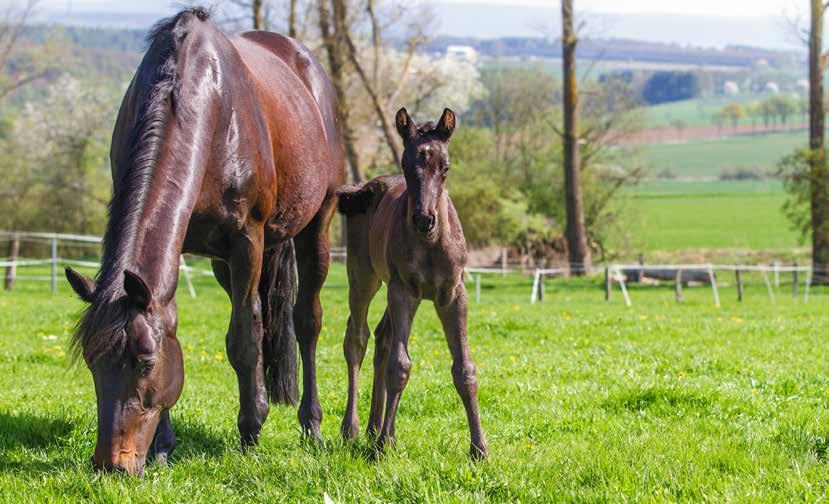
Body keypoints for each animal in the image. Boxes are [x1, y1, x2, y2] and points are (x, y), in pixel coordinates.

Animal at [60, 7, 340, 474]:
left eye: (145, 362)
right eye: (92, 362)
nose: (112, 464)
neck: (208, 107)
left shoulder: (248, 241)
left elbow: (243, 338)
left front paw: (250, 431)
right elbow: (180, 325)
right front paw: (162, 447)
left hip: (315, 223)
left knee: (306, 321)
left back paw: (311, 425)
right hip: (223, 262)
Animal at [334, 108, 486, 458]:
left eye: (445, 167)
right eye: (406, 165)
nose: (423, 219)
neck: (431, 242)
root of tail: (366, 188)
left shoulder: (453, 294)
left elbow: (465, 369)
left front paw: (479, 449)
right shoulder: (403, 291)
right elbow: (400, 366)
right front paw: (382, 448)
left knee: (382, 336)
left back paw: (376, 427)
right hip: (364, 277)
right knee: (357, 338)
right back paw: (354, 429)